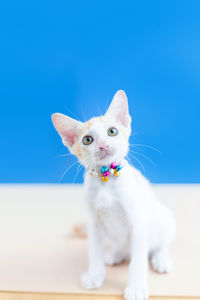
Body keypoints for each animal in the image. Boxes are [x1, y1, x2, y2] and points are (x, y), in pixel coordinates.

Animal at [51, 90, 175, 300]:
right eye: (87, 140)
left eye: (112, 131)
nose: (103, 145)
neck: (106, 179)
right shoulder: (94, 223)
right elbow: (94, 253)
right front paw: (95, 276)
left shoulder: (138, 223)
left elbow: (138, 260)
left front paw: (136, 287)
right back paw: (115, 254)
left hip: (165, 218)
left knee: (159, 244)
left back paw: (161, 259)